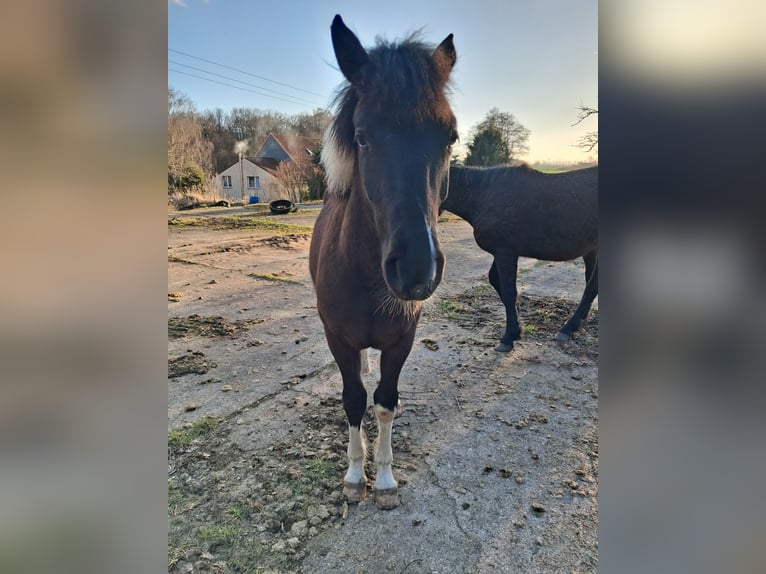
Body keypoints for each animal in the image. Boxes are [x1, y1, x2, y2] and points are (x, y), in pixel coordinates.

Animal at [309, 15, 458, 509]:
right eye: (362, 137)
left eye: (450, 138)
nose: (415, 270)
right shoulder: (338, 338)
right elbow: (354, 399)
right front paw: (355, 475)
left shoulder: (401, 340)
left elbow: (386, 401)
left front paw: (386, 479)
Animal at [442, 164, 598, 352]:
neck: (483, 195)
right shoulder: (501, 252)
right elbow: (495, 281)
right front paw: (518, 327)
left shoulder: (505, 253)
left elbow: (509, 292)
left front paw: (508, 337)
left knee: (592, 286)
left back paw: (568, 327)